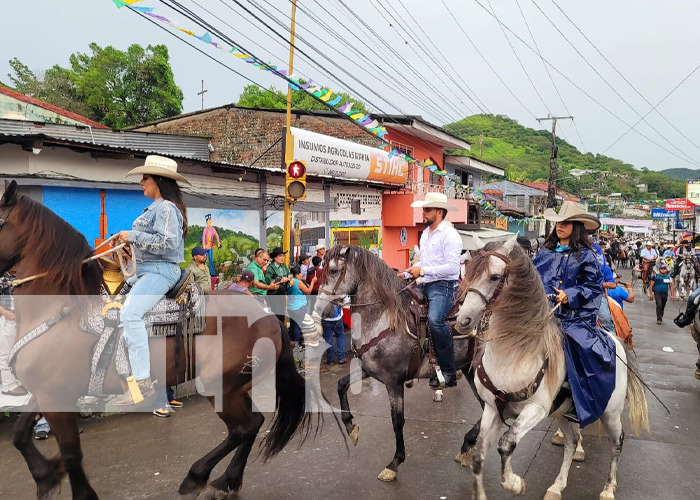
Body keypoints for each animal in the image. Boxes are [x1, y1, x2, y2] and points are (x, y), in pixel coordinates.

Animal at [0, 183, 320, 500]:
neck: (62, 308)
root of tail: (269, 317)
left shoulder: (57, 397)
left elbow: (70, 455)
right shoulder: (45, 394)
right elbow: (19, 435)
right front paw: (46, 477)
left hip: (219, 386)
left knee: (243, 428)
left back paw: (197, 476)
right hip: (235, 387)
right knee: (253, 425)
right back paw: (227, 480)